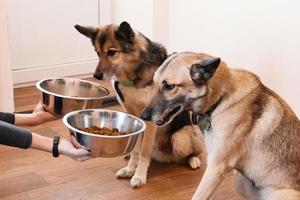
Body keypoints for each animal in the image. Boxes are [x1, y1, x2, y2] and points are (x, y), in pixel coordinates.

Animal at [74, 21, 204, 188]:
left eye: (111, 52)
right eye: (98, 52)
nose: (96, 76)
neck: (133, 76)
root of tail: (165, 157)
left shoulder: (150, 120)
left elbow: (143, 153)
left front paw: (139, 175)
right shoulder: (134, 119)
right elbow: (136, 150)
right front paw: (130, 169)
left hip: (180, 138)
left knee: (195, 152)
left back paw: (194, 160)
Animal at [141, 52, 300, 199]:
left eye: (169, 86)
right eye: (154, 82)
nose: (143, 116)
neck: (221, 98)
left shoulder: (216, 167)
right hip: (240, 181)